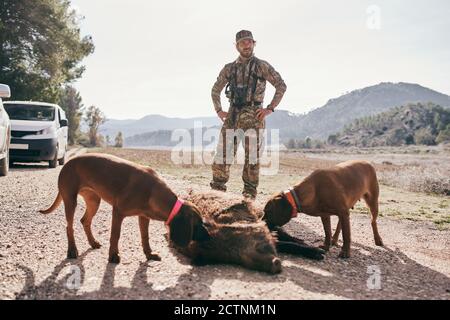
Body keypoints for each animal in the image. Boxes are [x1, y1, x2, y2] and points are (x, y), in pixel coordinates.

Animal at [39, 152, 208, 262]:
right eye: (198, 224)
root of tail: (67, 162)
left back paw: (93, 243)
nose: (208, 236)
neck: (153, 191)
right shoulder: (118, 212)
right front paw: (113, 256)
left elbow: (145, 237)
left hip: (94, 201)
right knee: (69, 226)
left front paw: (149, 254)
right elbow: (115, 235)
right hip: (70, 200)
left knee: (85, 221)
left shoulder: (143, 217)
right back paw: (72, 250)